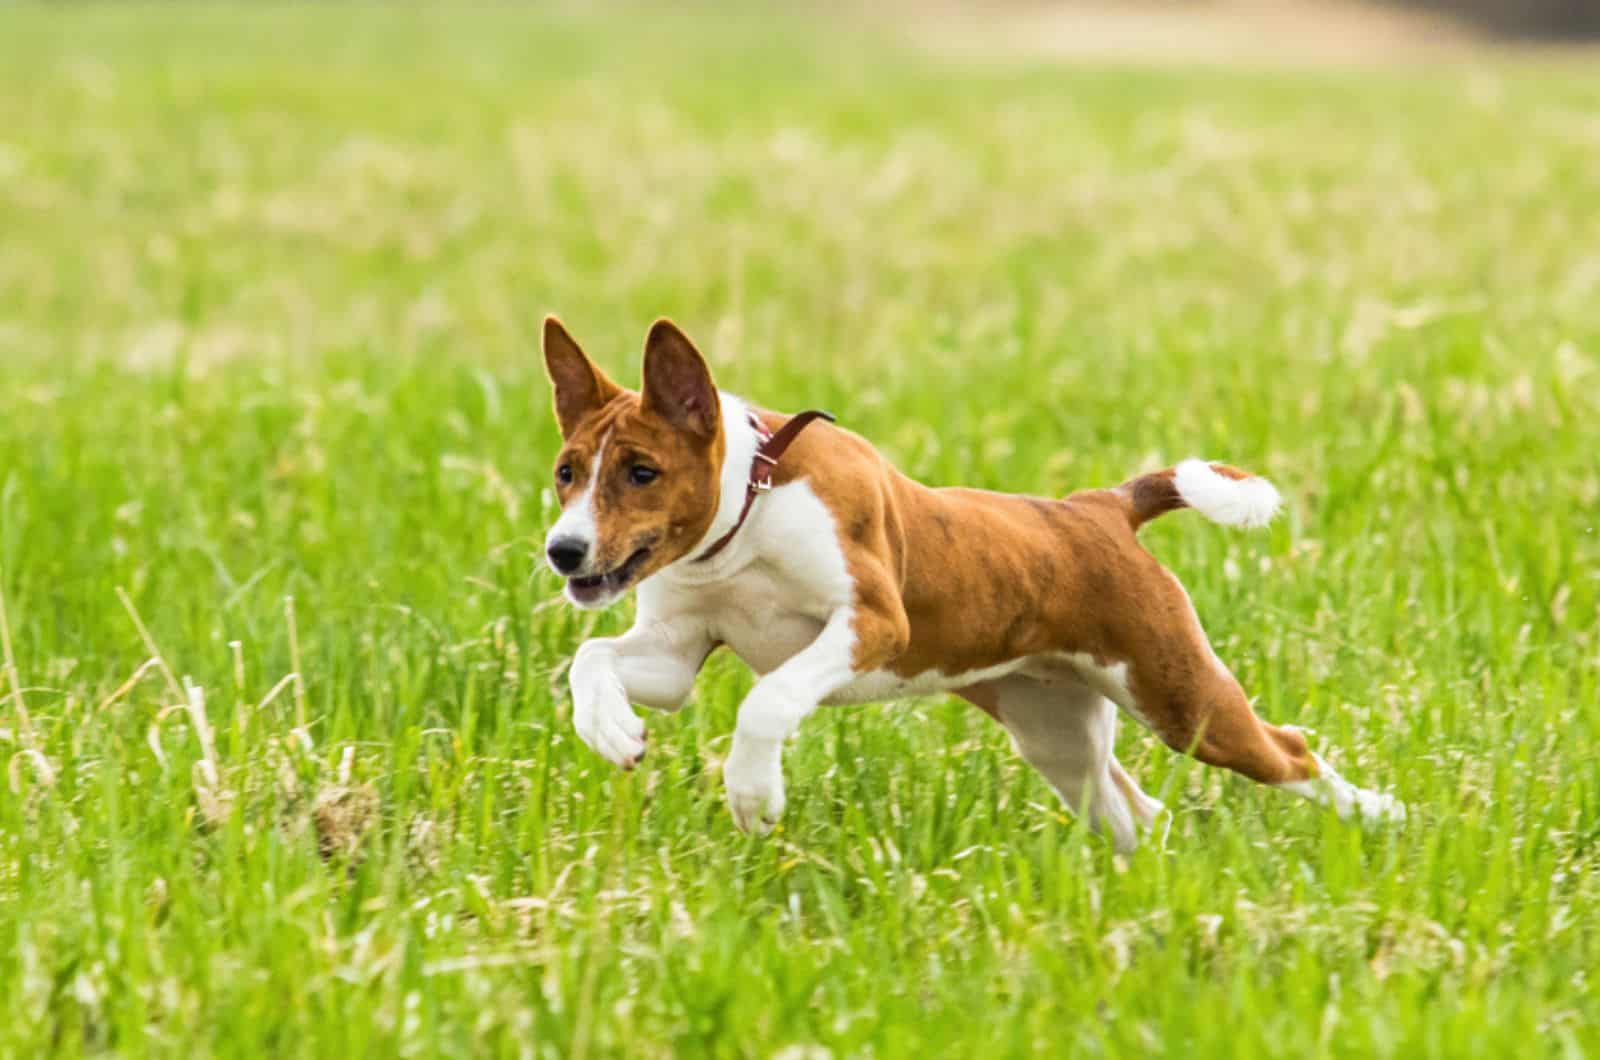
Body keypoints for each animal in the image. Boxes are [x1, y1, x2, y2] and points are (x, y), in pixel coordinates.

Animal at [544, 320, 1408, 851]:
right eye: (566, 473)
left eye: (642, 472)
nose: (563, 550)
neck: (748, 516)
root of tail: (1101, 508)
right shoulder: (677, 652)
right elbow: (593, 658)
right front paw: (611, 731)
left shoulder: (873, 624)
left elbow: (767, 700)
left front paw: (754, 794)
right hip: (1057, 731)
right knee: (1139, 813)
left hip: (1183, 700)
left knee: (1290, 753)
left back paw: (1384, 814)